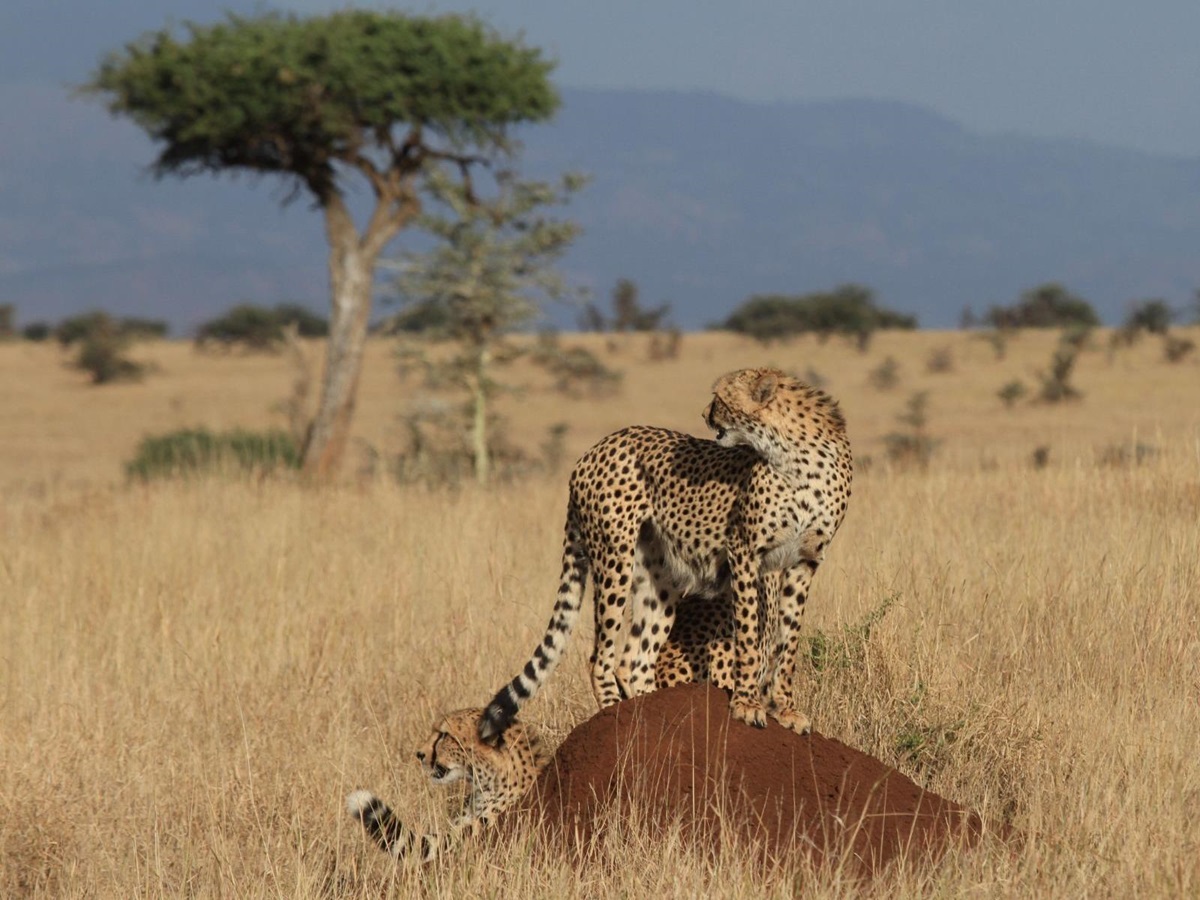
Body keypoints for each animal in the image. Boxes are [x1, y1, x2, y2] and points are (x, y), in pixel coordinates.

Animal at [479, 366, 852, 742]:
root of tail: (595, 449)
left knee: (634, 660)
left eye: (718, 397)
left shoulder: (803, 561)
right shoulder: (747, 554)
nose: (704, 414)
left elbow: (788, 639)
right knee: (600, 657)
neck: (793, 455)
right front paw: (747, 704)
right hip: (614, 558)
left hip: (659, 577)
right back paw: (615, 711)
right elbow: (750, 634)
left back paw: (656, 714)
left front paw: (786, 709)